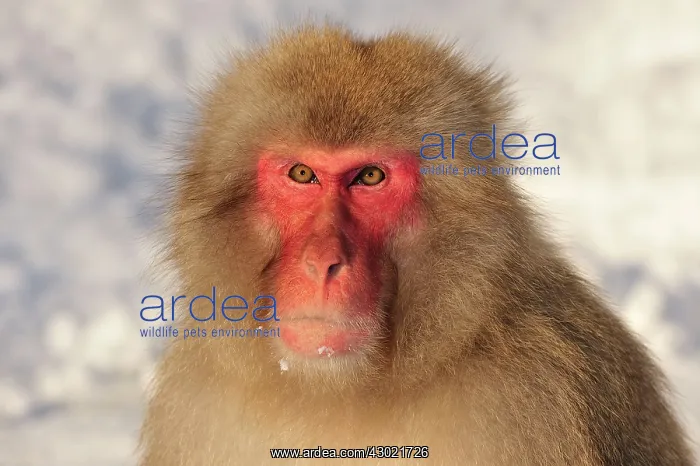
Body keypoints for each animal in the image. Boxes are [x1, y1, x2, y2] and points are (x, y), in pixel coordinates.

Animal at [138, 24, 695, 465]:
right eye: (301, 174)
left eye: (369, 176)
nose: (323, 262)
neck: (345, 396)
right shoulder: (198, 406)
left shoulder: (535, 403)